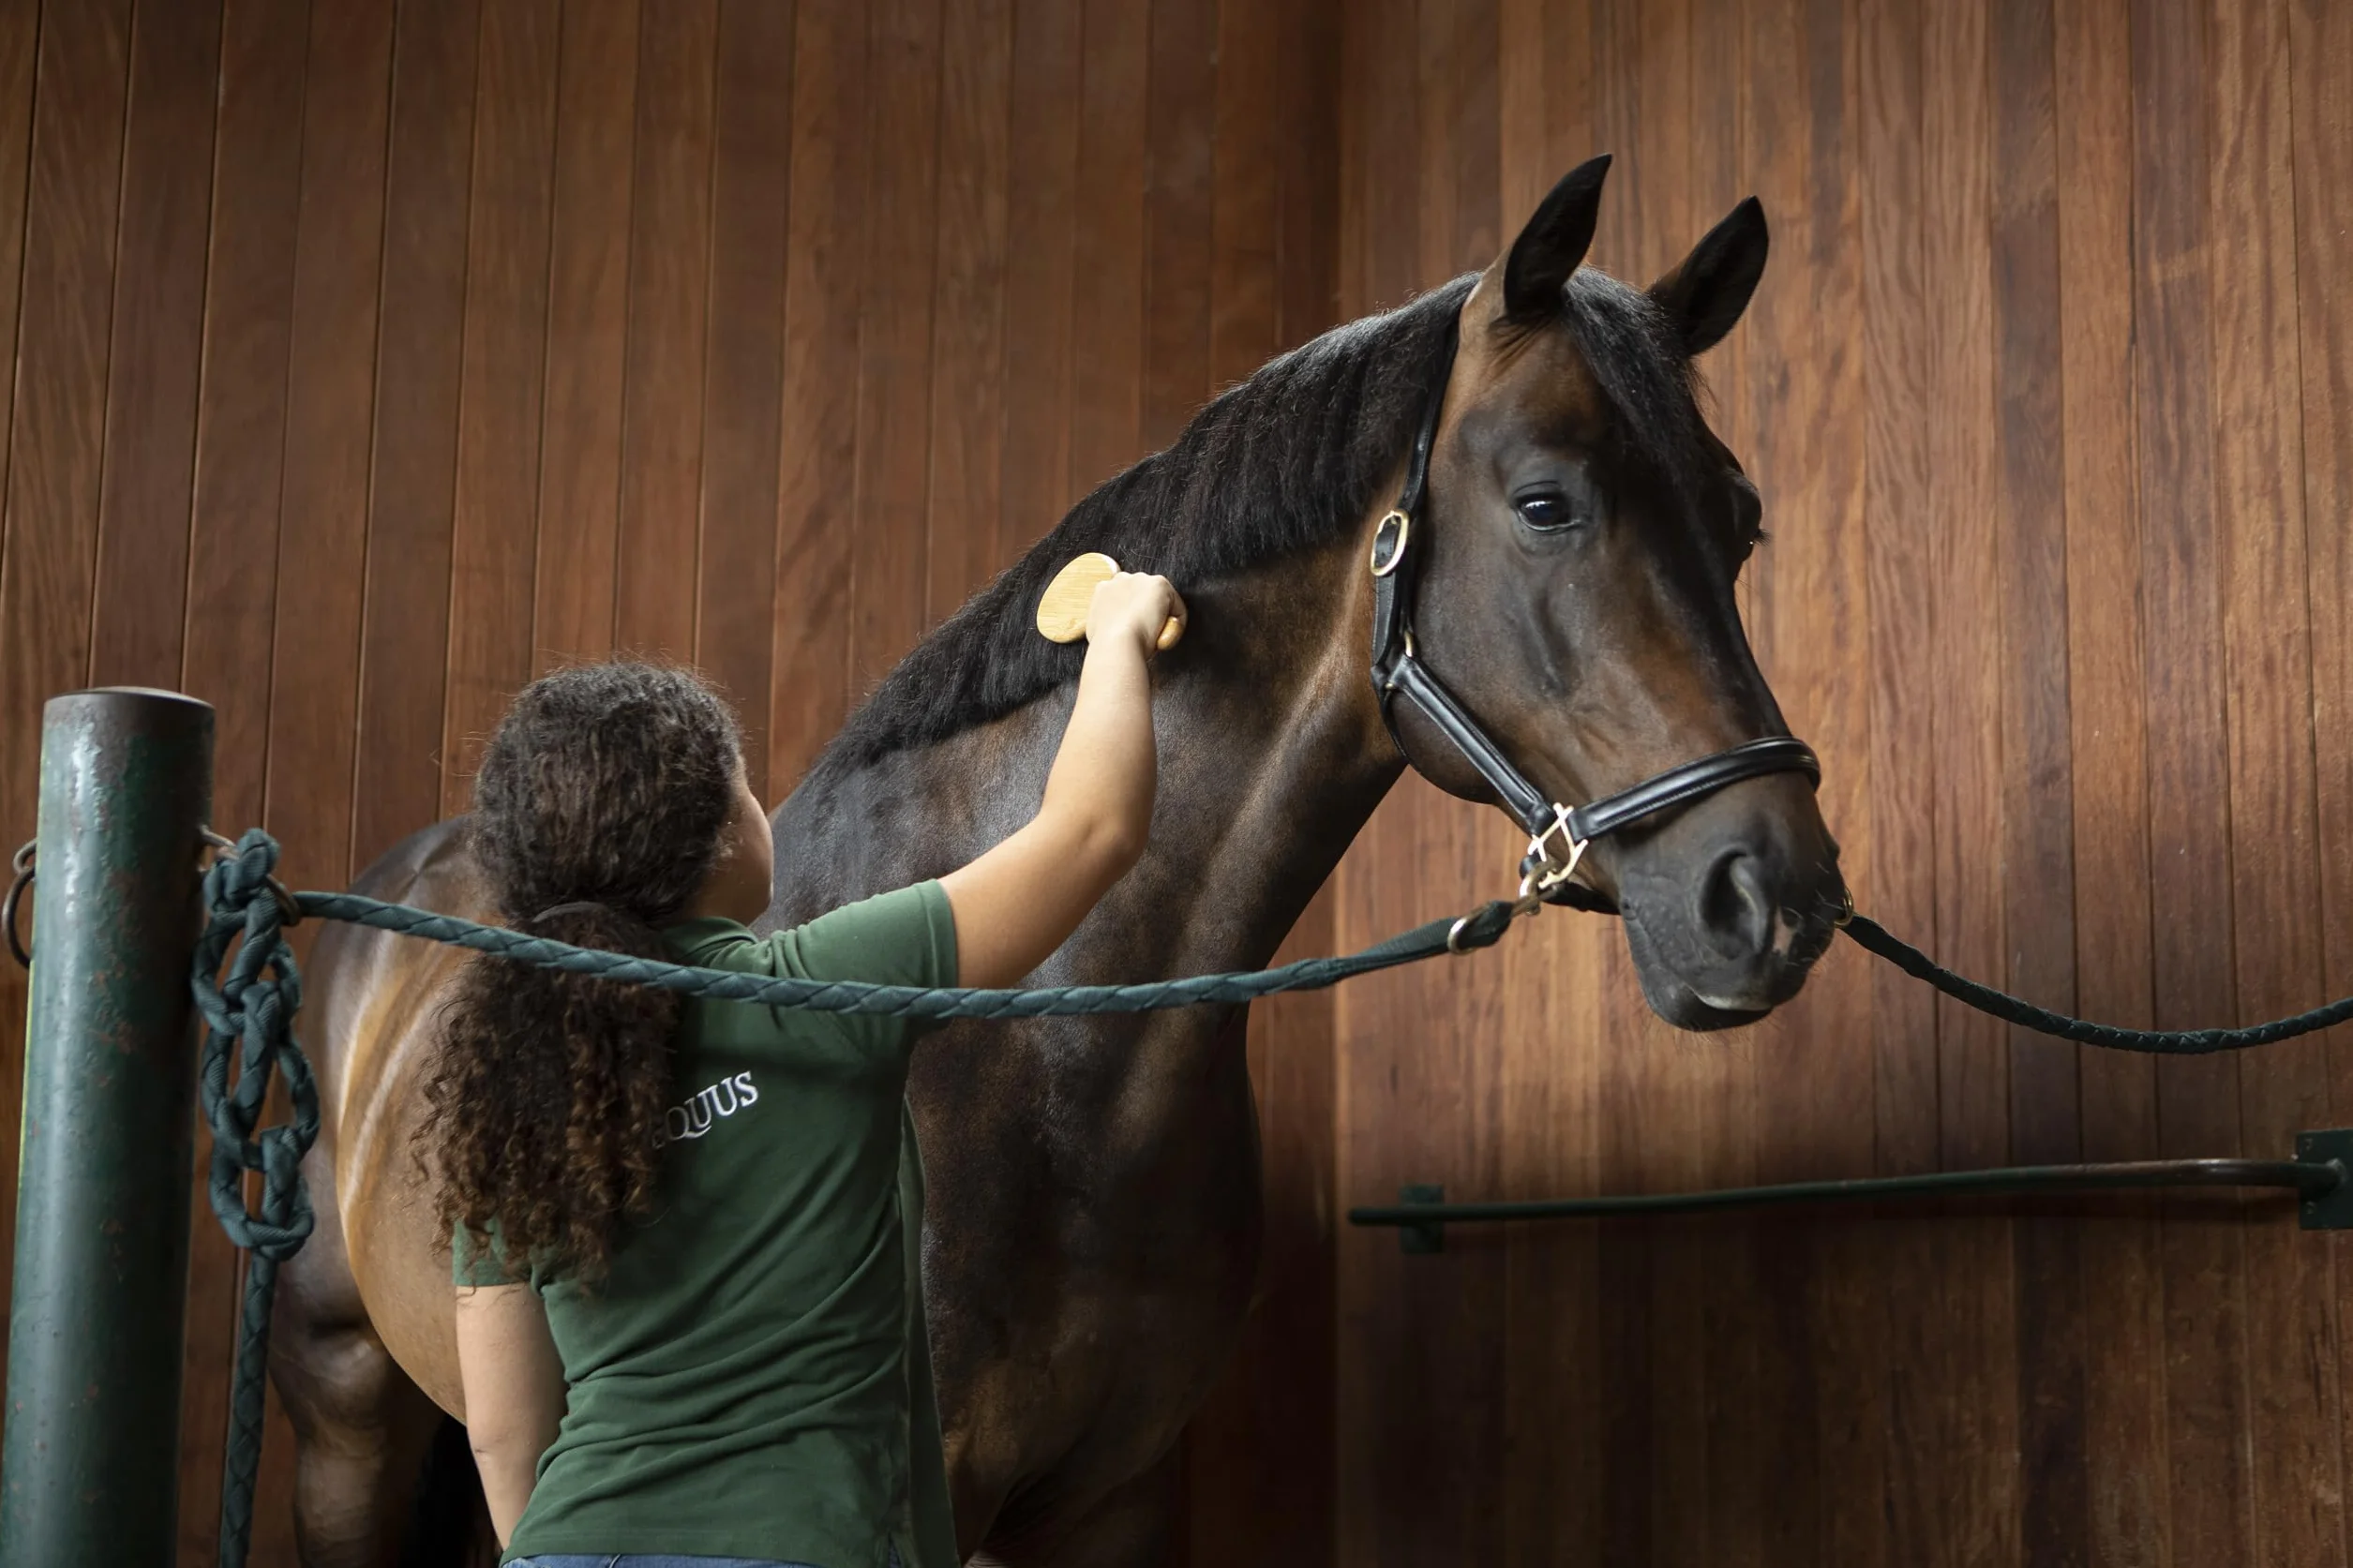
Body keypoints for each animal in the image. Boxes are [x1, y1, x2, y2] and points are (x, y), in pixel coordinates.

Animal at [272, 157, 1846, 1566]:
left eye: (1744, 522)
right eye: (1543, 504)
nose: (1771, 899)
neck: (1049, 1053)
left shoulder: (1108, 1503)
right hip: (342, 1409)